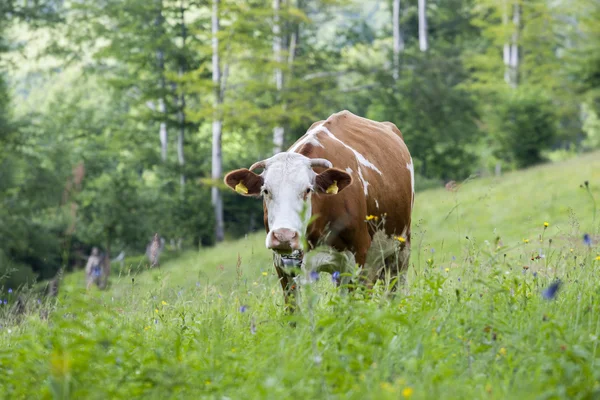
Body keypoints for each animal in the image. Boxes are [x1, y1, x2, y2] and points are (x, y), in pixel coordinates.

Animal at [223, 110, 414, 310]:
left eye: (308, 190)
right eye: (266, 191)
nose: (284, 236)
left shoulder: (357, 258)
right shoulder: (285, 266)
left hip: (400, 248)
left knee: (394, 287)